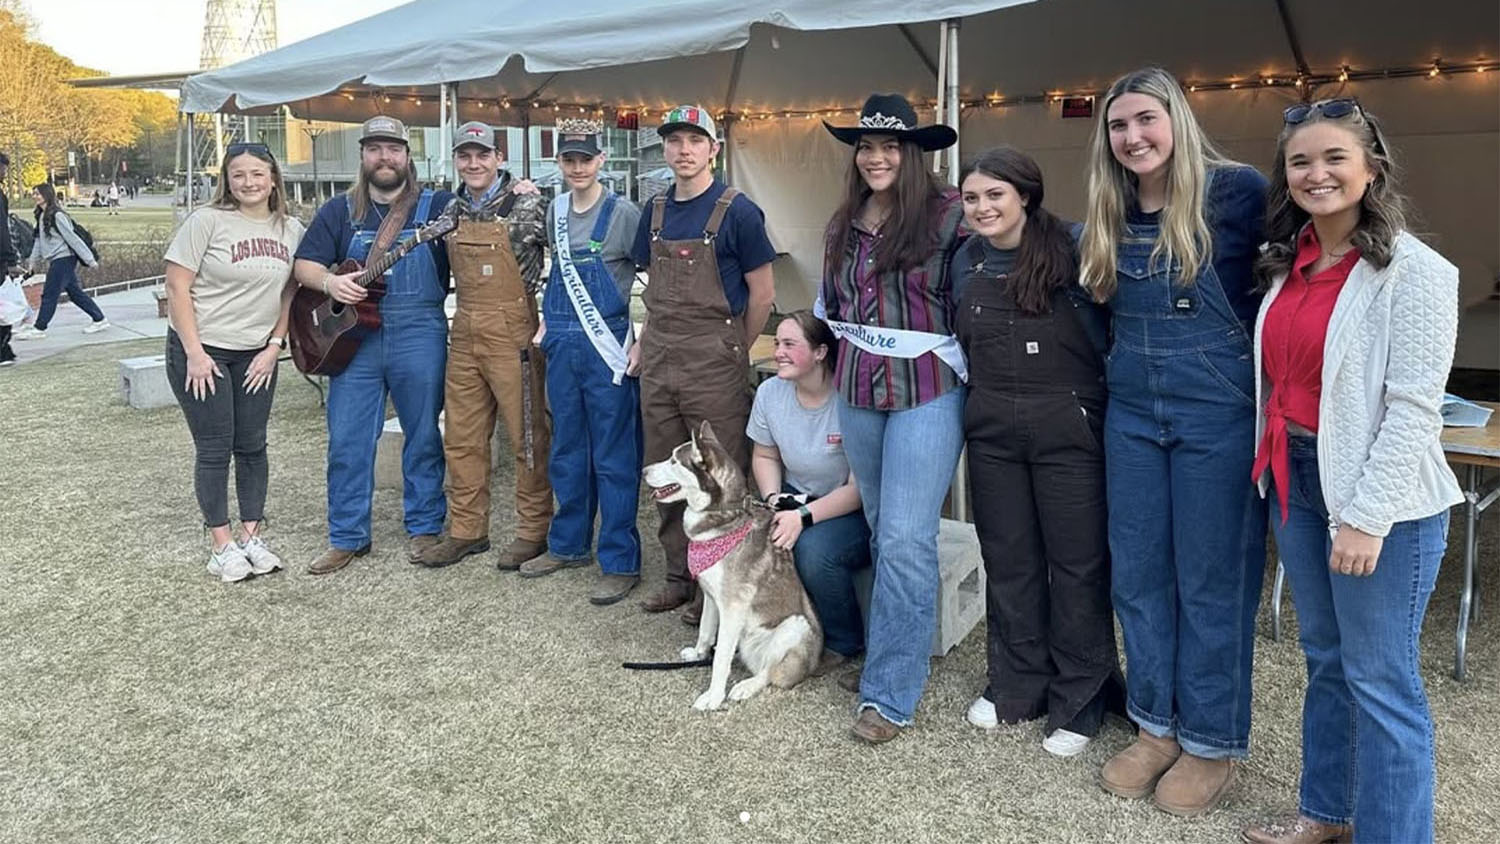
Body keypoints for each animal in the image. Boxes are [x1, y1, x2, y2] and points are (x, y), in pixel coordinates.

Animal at [642, 419, 828, 710]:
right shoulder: (710, 596)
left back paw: (745, 686)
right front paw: (699, 654)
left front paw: (713, 697)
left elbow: (720, 661)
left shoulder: (732, 608)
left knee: (768, 673)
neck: (723, 516)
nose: (643, 470)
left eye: (674, 461)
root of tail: (812, 666)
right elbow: (705, 631)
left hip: (795, 626)